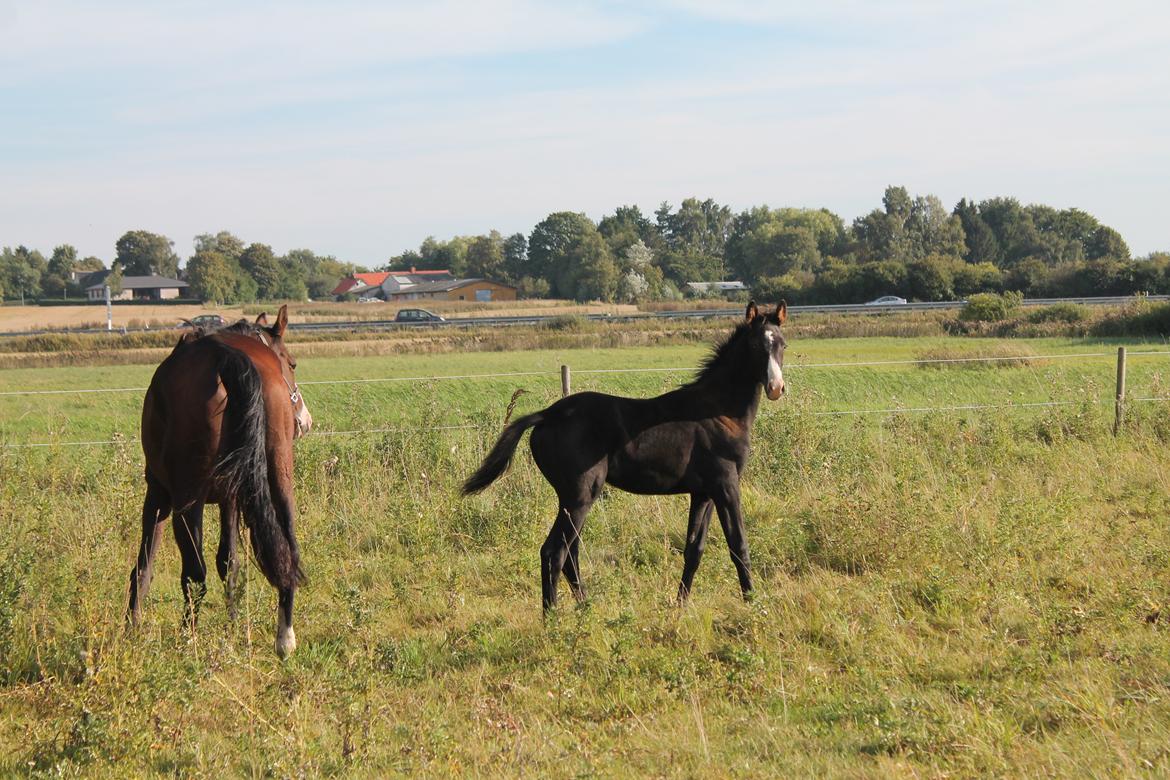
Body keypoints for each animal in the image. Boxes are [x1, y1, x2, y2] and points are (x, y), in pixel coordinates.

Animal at [128, 304, 313, 659]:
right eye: (293, 363)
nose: (305, 422)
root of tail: (226, 357)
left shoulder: (158, 494)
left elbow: (145, 564)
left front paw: (131, 623)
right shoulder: (231, 497)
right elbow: (230, 562)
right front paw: (234, 624)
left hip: (187, 499)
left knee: (194, 572)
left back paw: (188, 640)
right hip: (278, 476)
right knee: (289, 550)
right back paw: (285, 637)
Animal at [463, 299, 786, 608]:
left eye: (782, 344)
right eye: (755, 346)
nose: (776, 387)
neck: (717, 411)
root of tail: (547, 415)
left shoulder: (703, 492)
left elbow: (694, 549)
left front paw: (681, 605)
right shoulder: (726, 484)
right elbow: (738, 545)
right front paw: (752, 602)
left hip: (570, 499)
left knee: (570, 553)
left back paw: (585, 608)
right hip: (580, 495)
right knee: (554, 552)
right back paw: (552, 616)